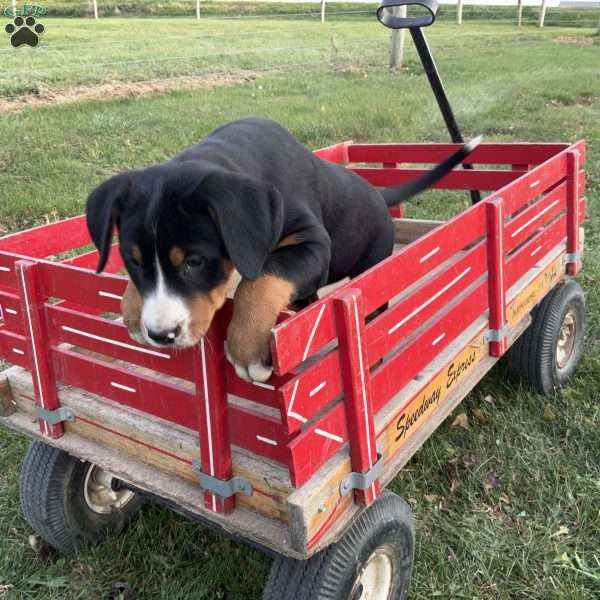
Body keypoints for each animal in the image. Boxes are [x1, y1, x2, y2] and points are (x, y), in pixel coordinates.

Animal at [85, 116, 478, 380]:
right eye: (131, 260)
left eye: (194, 262)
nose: (161, 335)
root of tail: (379, 196)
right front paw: (132, 307)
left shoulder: (313, 243)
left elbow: (259, 280)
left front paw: (246, 348)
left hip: (371, 271)